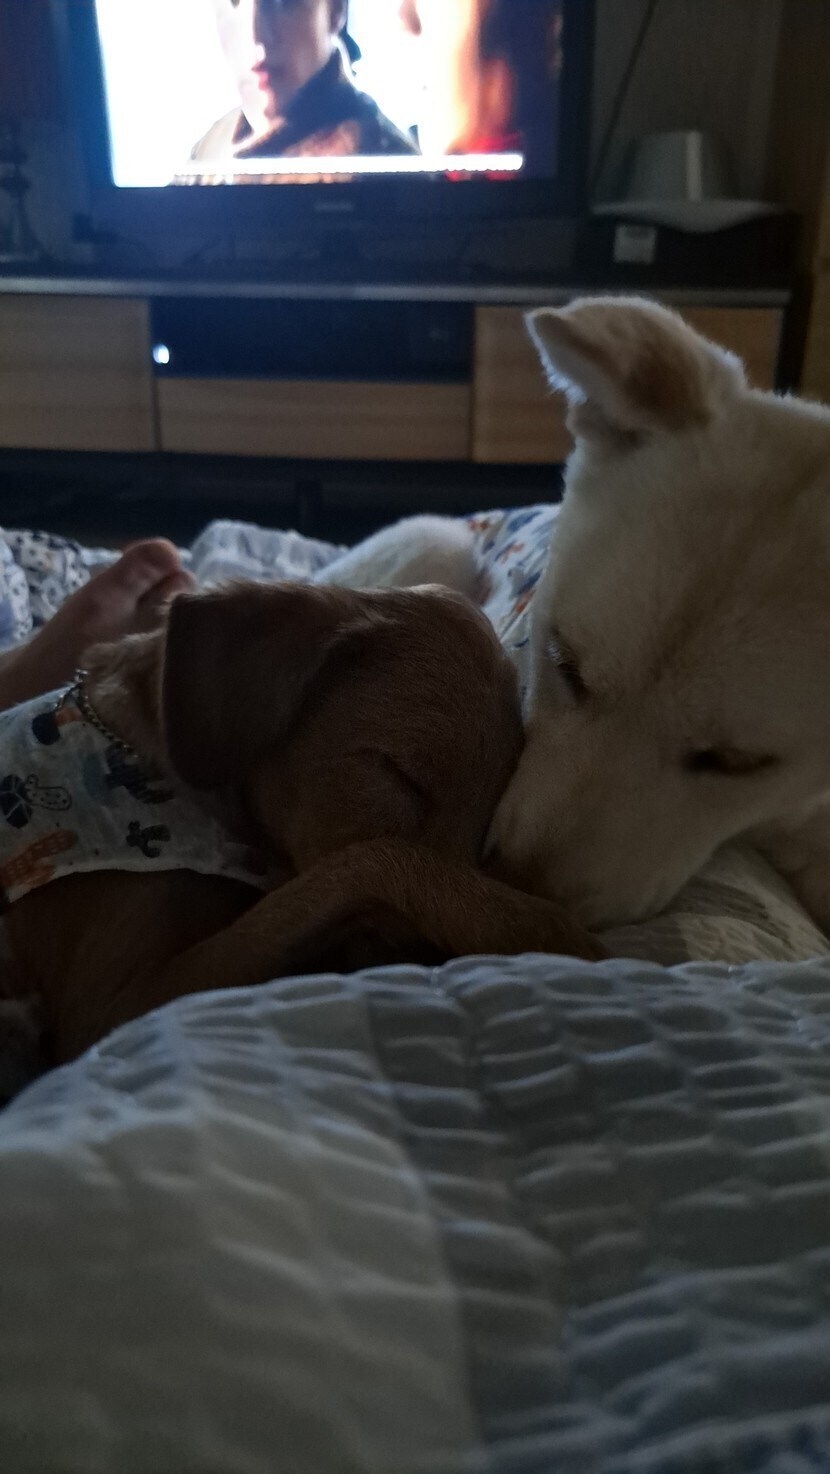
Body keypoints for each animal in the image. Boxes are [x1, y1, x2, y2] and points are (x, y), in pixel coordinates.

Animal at [1, 579, 599, 1065]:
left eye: (485, 827)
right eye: (400, 776)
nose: (432, 961)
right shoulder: (113, 1012)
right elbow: (373, 861)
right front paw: (528, 925)